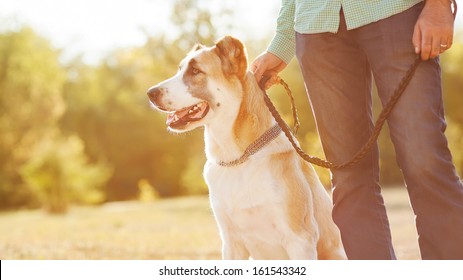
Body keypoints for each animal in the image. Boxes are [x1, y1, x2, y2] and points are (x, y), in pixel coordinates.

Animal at [147, 36, 346, 260]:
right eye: (180, 69)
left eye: (196, 71)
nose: (150, 93)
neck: (238, 158)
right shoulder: (231, 243)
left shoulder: (300, 239)